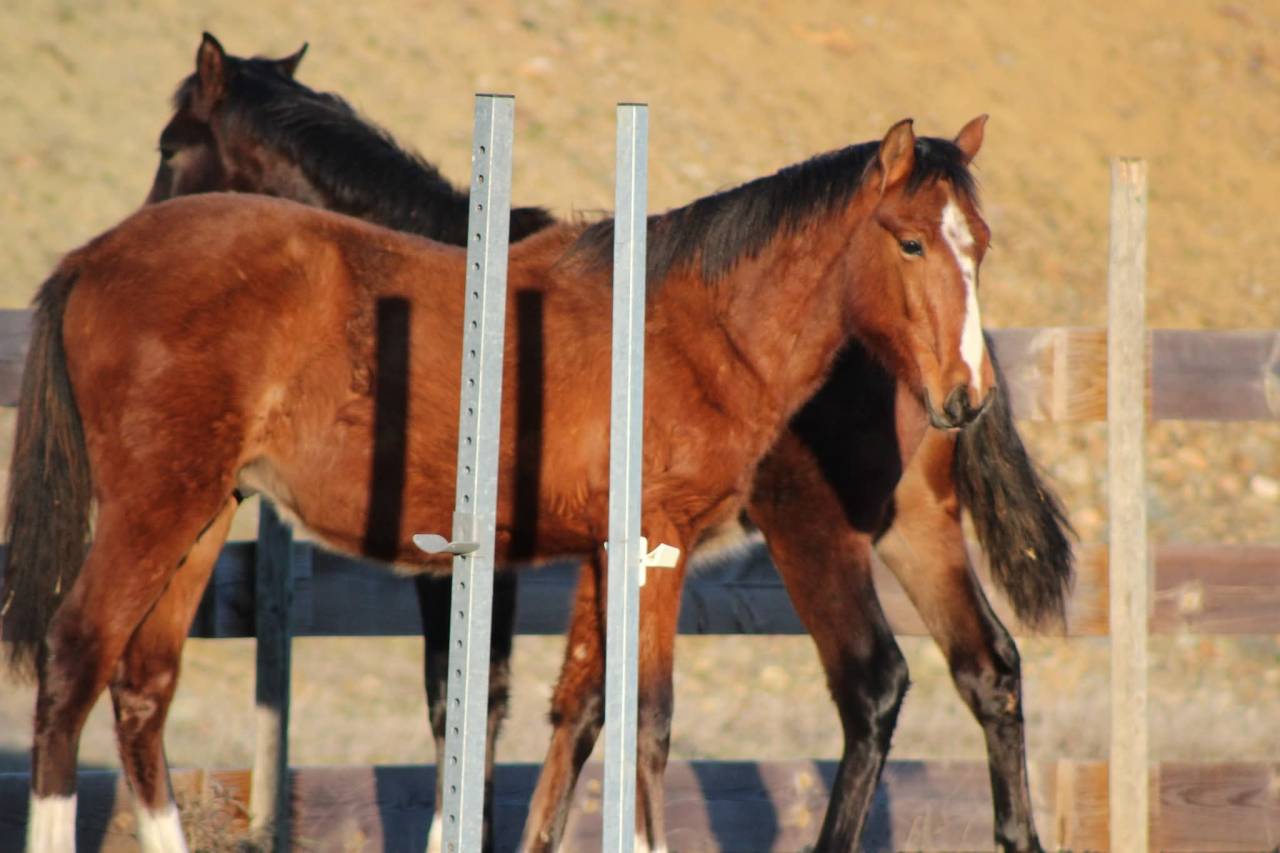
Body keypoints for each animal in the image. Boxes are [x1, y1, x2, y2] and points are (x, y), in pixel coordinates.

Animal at [140, 35, 1071, 852]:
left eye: (169, 144)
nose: (142, 230)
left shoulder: (470, 559)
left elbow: (468, 698)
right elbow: (566, 701)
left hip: (817, 533)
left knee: (873, 684)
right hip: (916, 530)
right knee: (991, 669)